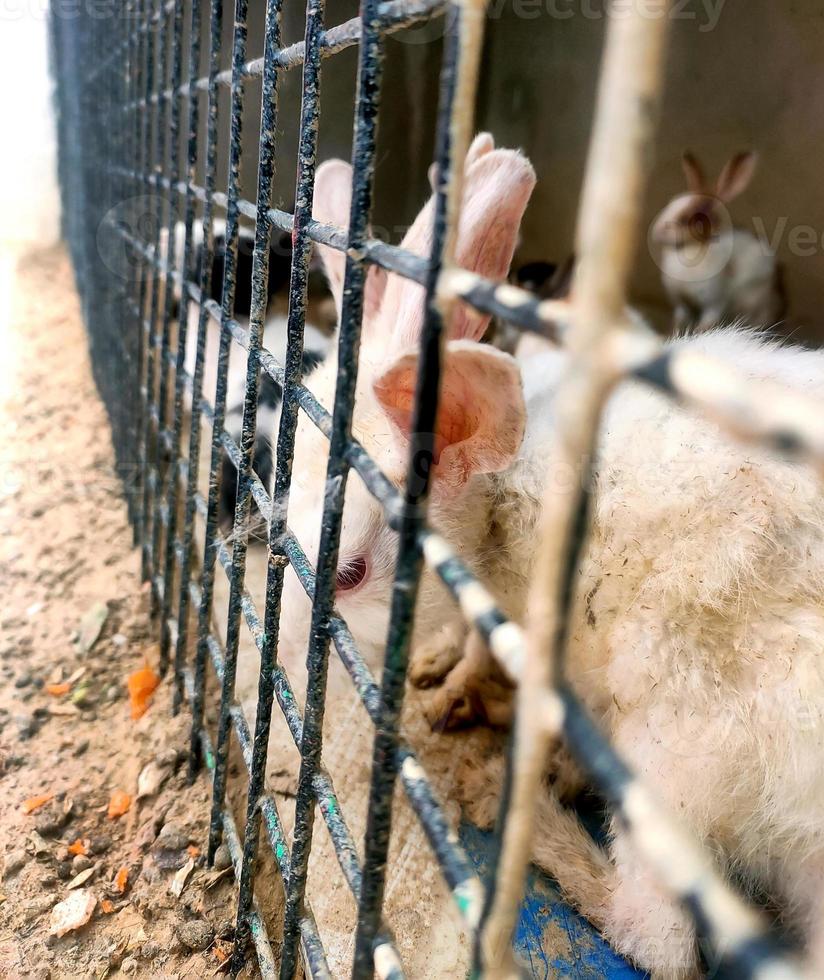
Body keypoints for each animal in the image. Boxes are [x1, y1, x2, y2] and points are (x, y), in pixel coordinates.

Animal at [652, 153, 784, 334]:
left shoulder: (714, 304)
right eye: (672, 201)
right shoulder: (681, 304)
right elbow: (678, 322)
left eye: (690, 218)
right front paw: (671, 336)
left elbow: (705, 326)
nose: (656, 231)